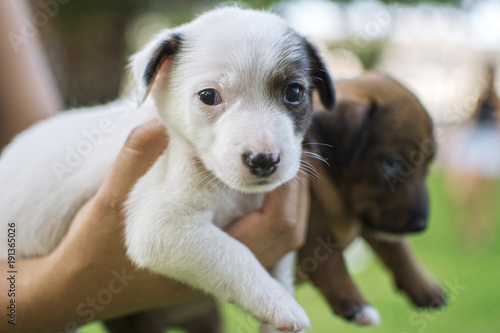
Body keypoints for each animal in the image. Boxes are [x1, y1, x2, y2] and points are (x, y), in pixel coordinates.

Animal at [1, 6, 336, 330]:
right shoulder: (163, 229)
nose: (264, 160)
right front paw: (281, 304)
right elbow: (234, 255)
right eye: (208, 96)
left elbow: (280, 271)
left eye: (294, 92)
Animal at [298, 72, 448, 324]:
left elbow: (397, 246)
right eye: (391, 163)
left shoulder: (374, 217)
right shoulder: (309, 210)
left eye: (428, 165)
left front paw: (423, 285)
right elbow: (326, 252)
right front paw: (353, 301)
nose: (420, 226)